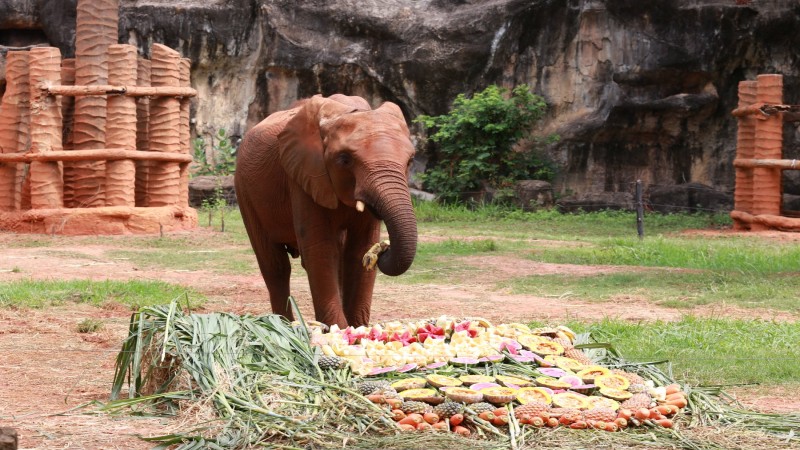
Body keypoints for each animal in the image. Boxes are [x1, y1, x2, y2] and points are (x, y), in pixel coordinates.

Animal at [233, 94, 416, 326]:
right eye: (344, 159)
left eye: (410, 161)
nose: (383, 248)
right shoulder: (303, 176)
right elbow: (320, 249)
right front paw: (339, 329)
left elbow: (358, 249)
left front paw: (357, 329)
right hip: (245, 193)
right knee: (276, 266)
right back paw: (284, 326)